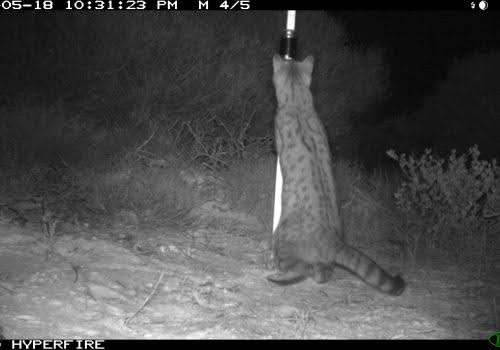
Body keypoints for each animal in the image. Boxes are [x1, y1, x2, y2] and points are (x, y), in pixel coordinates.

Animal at [268, 54, 404, 296]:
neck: (299, 103)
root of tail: (335, 240)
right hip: (321, 259)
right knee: (323, 272)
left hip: (281, 235)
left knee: (299, 267)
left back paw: (279, 274)